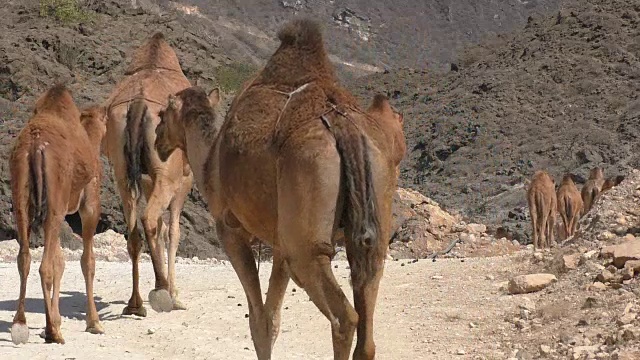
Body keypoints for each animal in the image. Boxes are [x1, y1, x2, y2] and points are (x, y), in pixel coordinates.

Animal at [8, 83, 107, 344]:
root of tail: (35, 146)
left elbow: (59, 261)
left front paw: (50, 322)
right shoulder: (89, 203)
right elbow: (87, 261)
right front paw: (94, 322)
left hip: (21, 196)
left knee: (25, 257)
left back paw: (20, 325)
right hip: (55, 201)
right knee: (45, 266)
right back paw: (54, 333)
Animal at [100, 33, 194, 316]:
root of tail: (139, 103)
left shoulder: (148, 181)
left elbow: (163, 231)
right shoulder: (181, 183)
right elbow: (173, 232)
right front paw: (176, 295)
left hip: (122, 173)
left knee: (134, 233)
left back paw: (135, 303)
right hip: (167, 176)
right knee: (149, 218)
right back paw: (161, 291)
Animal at [153, 18, 408, 358]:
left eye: (162, 114)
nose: (157, 139)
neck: (208, 161)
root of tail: (345, 127)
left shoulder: (231, 229)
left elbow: (258, 321)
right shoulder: (277, 243)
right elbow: (272, 319)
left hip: (306, 232)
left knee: (344, 316)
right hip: (374, 205)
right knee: (367, 309)